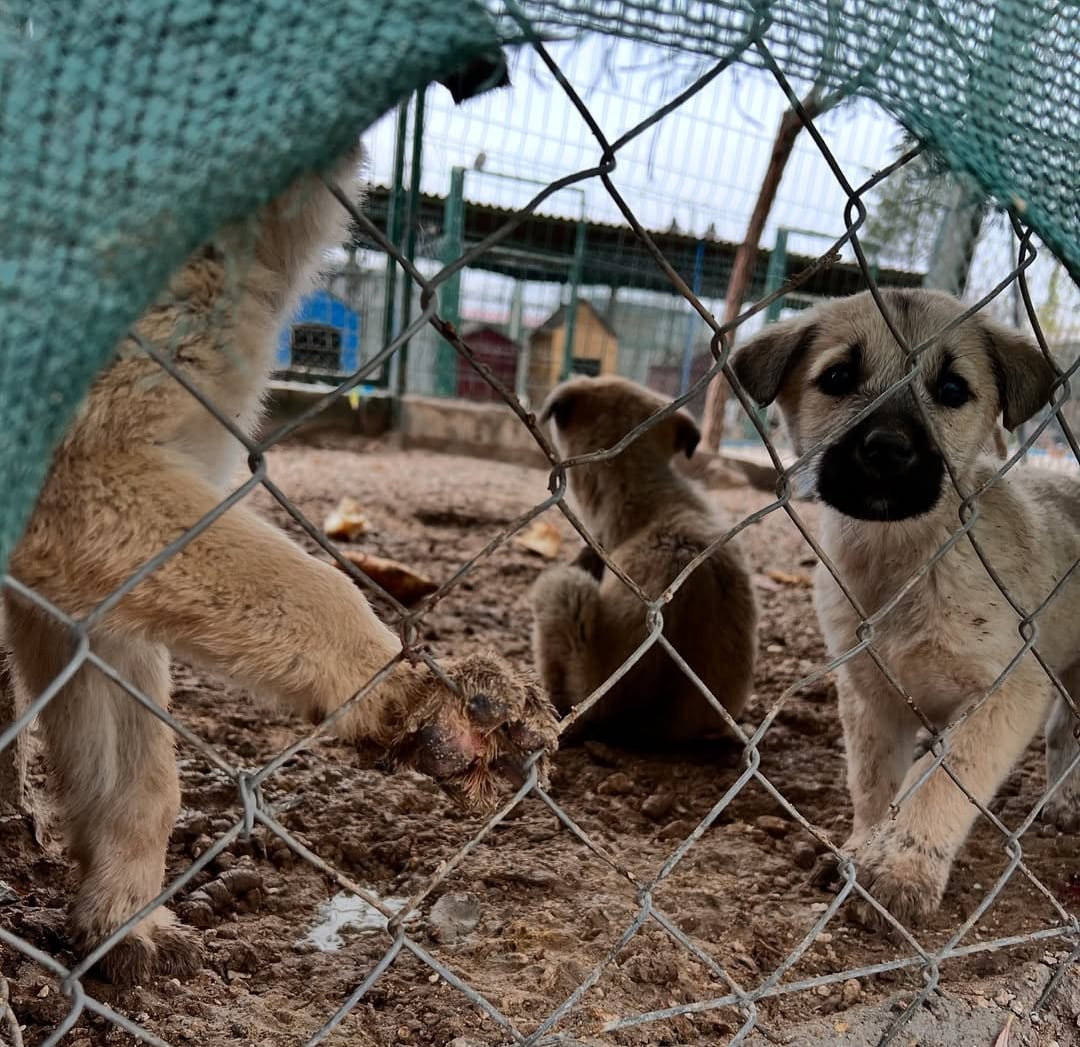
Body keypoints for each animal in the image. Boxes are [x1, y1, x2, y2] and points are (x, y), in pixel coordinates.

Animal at [0, 151, 557, 985]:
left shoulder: (92, 589)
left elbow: (142, 780)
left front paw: (121, 914)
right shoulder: (82, 475)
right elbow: (321, 588)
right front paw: (402, 690)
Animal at [730, 287, 1075, 933]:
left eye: (952, 389)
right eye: (839, 377)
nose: (887, 449)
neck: (907, 561)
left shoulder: (1007, 692)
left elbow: (940, 780)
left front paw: (901, 870)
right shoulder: (870, 692)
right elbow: (876, 783)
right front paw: (862, 848)